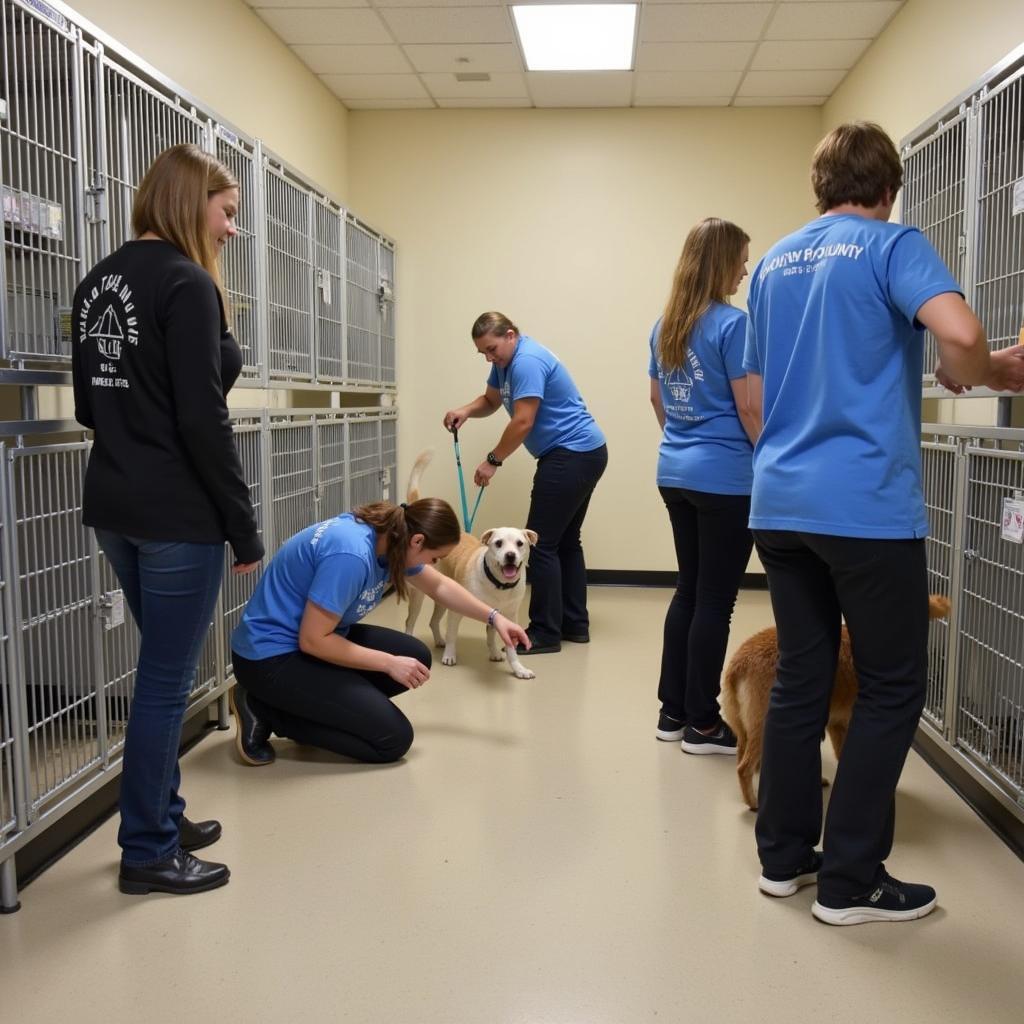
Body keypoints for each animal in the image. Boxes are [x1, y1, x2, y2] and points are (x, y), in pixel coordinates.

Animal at [403, 450, 540, 679]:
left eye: (520, 543)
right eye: (498, 543)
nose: (510, 555)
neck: (498, 585)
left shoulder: (506, 617)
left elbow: (501, 641)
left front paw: (514, 665)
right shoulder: (457, 609)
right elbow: (452, 634)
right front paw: (450, 656)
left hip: (443, 596)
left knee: (433, 621)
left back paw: (438, 640)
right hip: (420, 596)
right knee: (410, 622)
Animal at [720, 598, 950, 811]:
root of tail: (738, 663)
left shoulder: (836, 724)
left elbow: (842, 756)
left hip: (748, 730)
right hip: (764, 725)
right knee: (744, 768)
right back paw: (754, 803)